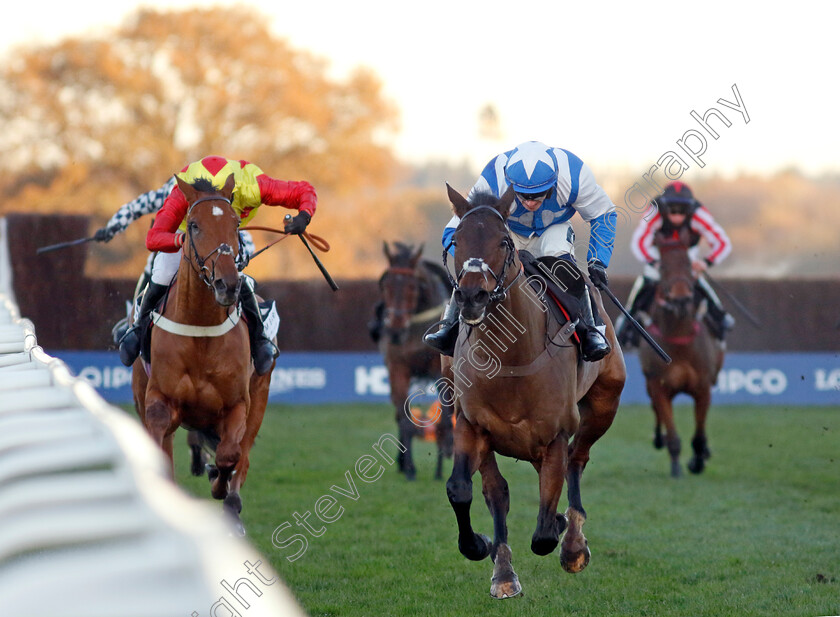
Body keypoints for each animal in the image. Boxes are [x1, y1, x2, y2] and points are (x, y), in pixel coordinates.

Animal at [130, 173, 272, 536]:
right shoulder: (158, 400)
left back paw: (231, 505)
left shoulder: (238, 405)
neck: (201, 329)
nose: (227, 284)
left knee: (242, 456)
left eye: (236, 224)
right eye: (193, 225)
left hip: (260, 396)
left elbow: (228, 456)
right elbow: (159, 437)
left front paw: (218, 483)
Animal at [374, 243, 452, 478]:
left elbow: (444, 416)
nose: (395, 331)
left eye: (412, 286)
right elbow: (404, 415)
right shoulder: (398, 368)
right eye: (386, 285)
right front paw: (409, 468)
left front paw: (440, 466)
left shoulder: (437, 370)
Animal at [442, 185, 628, 600]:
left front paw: (564, 534)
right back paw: (504, 573)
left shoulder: (555, 432)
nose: (472, 297)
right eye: (456, 240)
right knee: (498, 490)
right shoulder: (470, 424)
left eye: (503, 240)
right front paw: (480, 546)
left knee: (577, 459)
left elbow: (544, 531)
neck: (509, 357)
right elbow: (462, 490)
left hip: (604, 405)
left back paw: (573, 543)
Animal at [640, 225, 724, 476]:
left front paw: (697, 460)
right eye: (663, 267)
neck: (679, 341)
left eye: (688, 264)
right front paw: (676, 466)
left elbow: (699, 434)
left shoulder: (703, 388)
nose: (680, 300)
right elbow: (672, 431)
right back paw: (659, 438)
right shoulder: (659, 386)